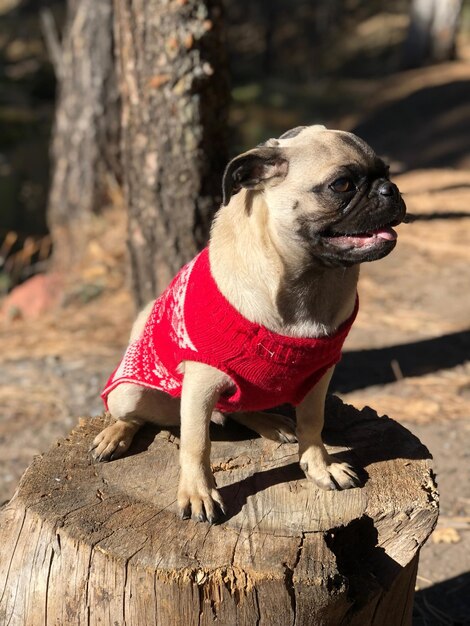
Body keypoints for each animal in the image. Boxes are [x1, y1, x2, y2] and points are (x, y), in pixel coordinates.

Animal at [91, 125, 404, 520]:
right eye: (343, 184)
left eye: (387, 172)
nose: (390, 190)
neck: (309, 280)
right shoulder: (201, 383)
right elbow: (196, 444)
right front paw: (198, 493)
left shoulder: (319, 375)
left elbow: (313, 424)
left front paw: (319, 467)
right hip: (129, 393)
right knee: (140, 416)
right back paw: (115, 435)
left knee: (237, 409)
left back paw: (271, 423)